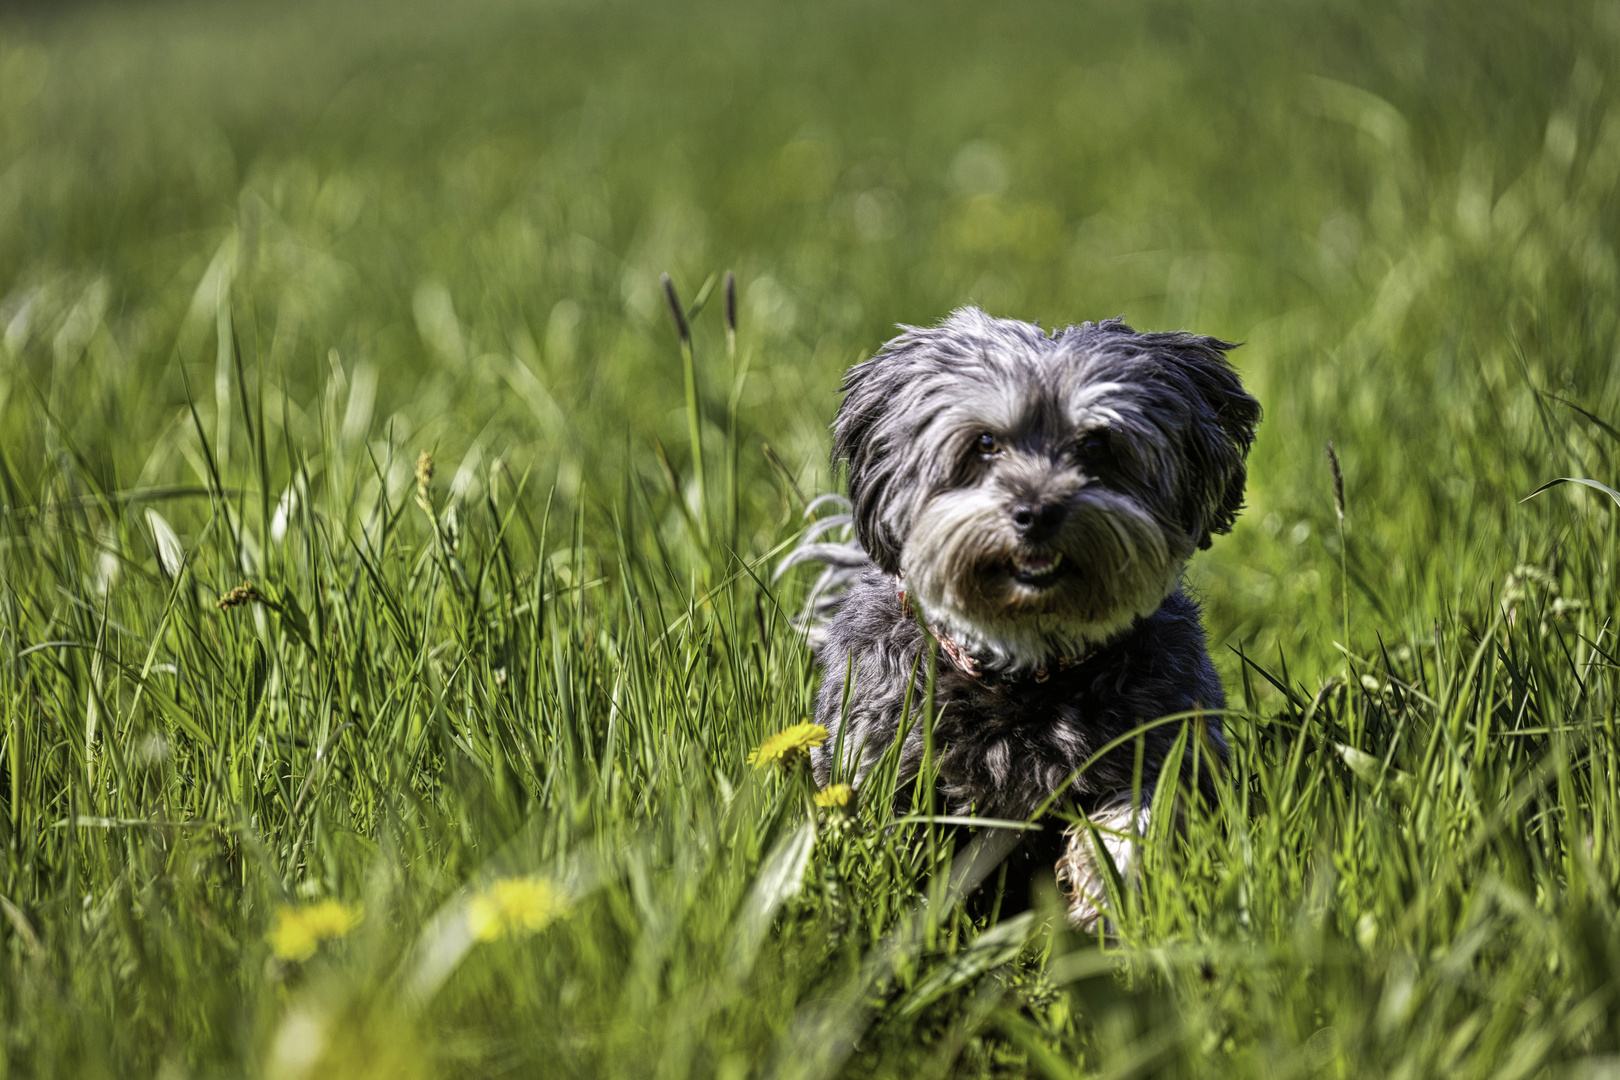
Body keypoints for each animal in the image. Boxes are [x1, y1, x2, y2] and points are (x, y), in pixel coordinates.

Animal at [784, 307, 1263, 926]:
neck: (1023, 669)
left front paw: (1103, 910)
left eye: (1096, 444)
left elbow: (1132, 829)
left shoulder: (1163, 743)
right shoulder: (878, 756)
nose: (1037, 512)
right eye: (986, 443)